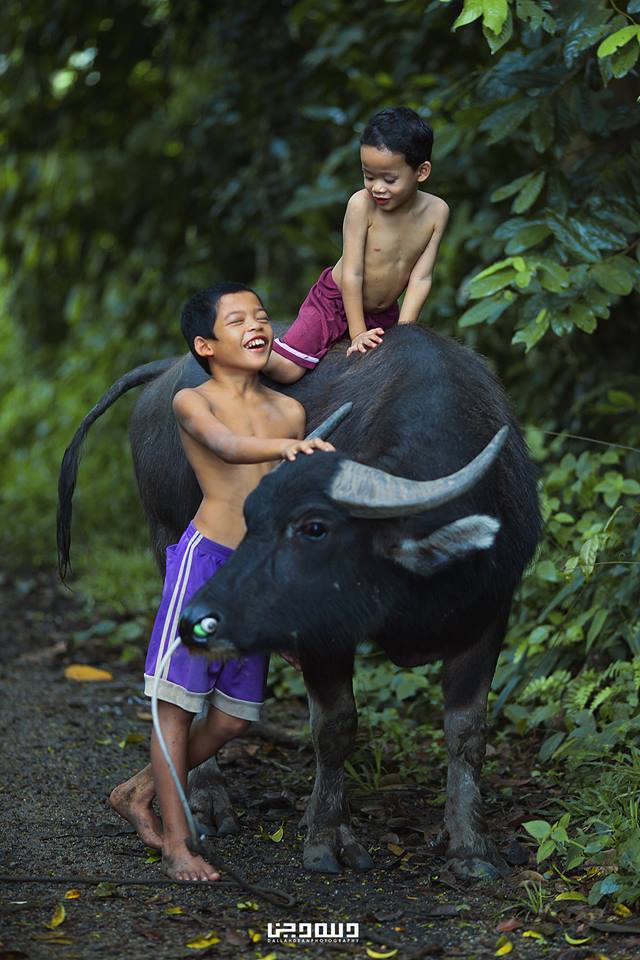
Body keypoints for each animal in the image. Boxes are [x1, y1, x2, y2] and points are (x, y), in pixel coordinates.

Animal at [58, 324, 540, 876]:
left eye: (314, 528)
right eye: (252, 518)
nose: (203, 613)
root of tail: (164, 374)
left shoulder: (489, 613)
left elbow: (468, 732)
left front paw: (470, 845)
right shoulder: (318, 633)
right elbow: (335, 726)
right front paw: (328, 836)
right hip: (166, 545)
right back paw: (204, 799)